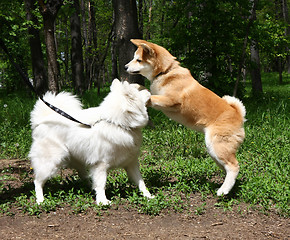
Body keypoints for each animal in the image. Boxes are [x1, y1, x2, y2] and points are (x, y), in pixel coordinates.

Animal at [124, 39, 245, 196]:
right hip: (214, 150)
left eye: (138, 60)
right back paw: (228, 188)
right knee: (229, 168)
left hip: (218, 146)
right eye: (134, 58)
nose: (125, 67)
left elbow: (151, 96)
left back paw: (223, 190)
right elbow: (144, 89)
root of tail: (239, 115)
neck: (165, 72)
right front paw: (132, 87)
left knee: (234, 166)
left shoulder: (171, 100)